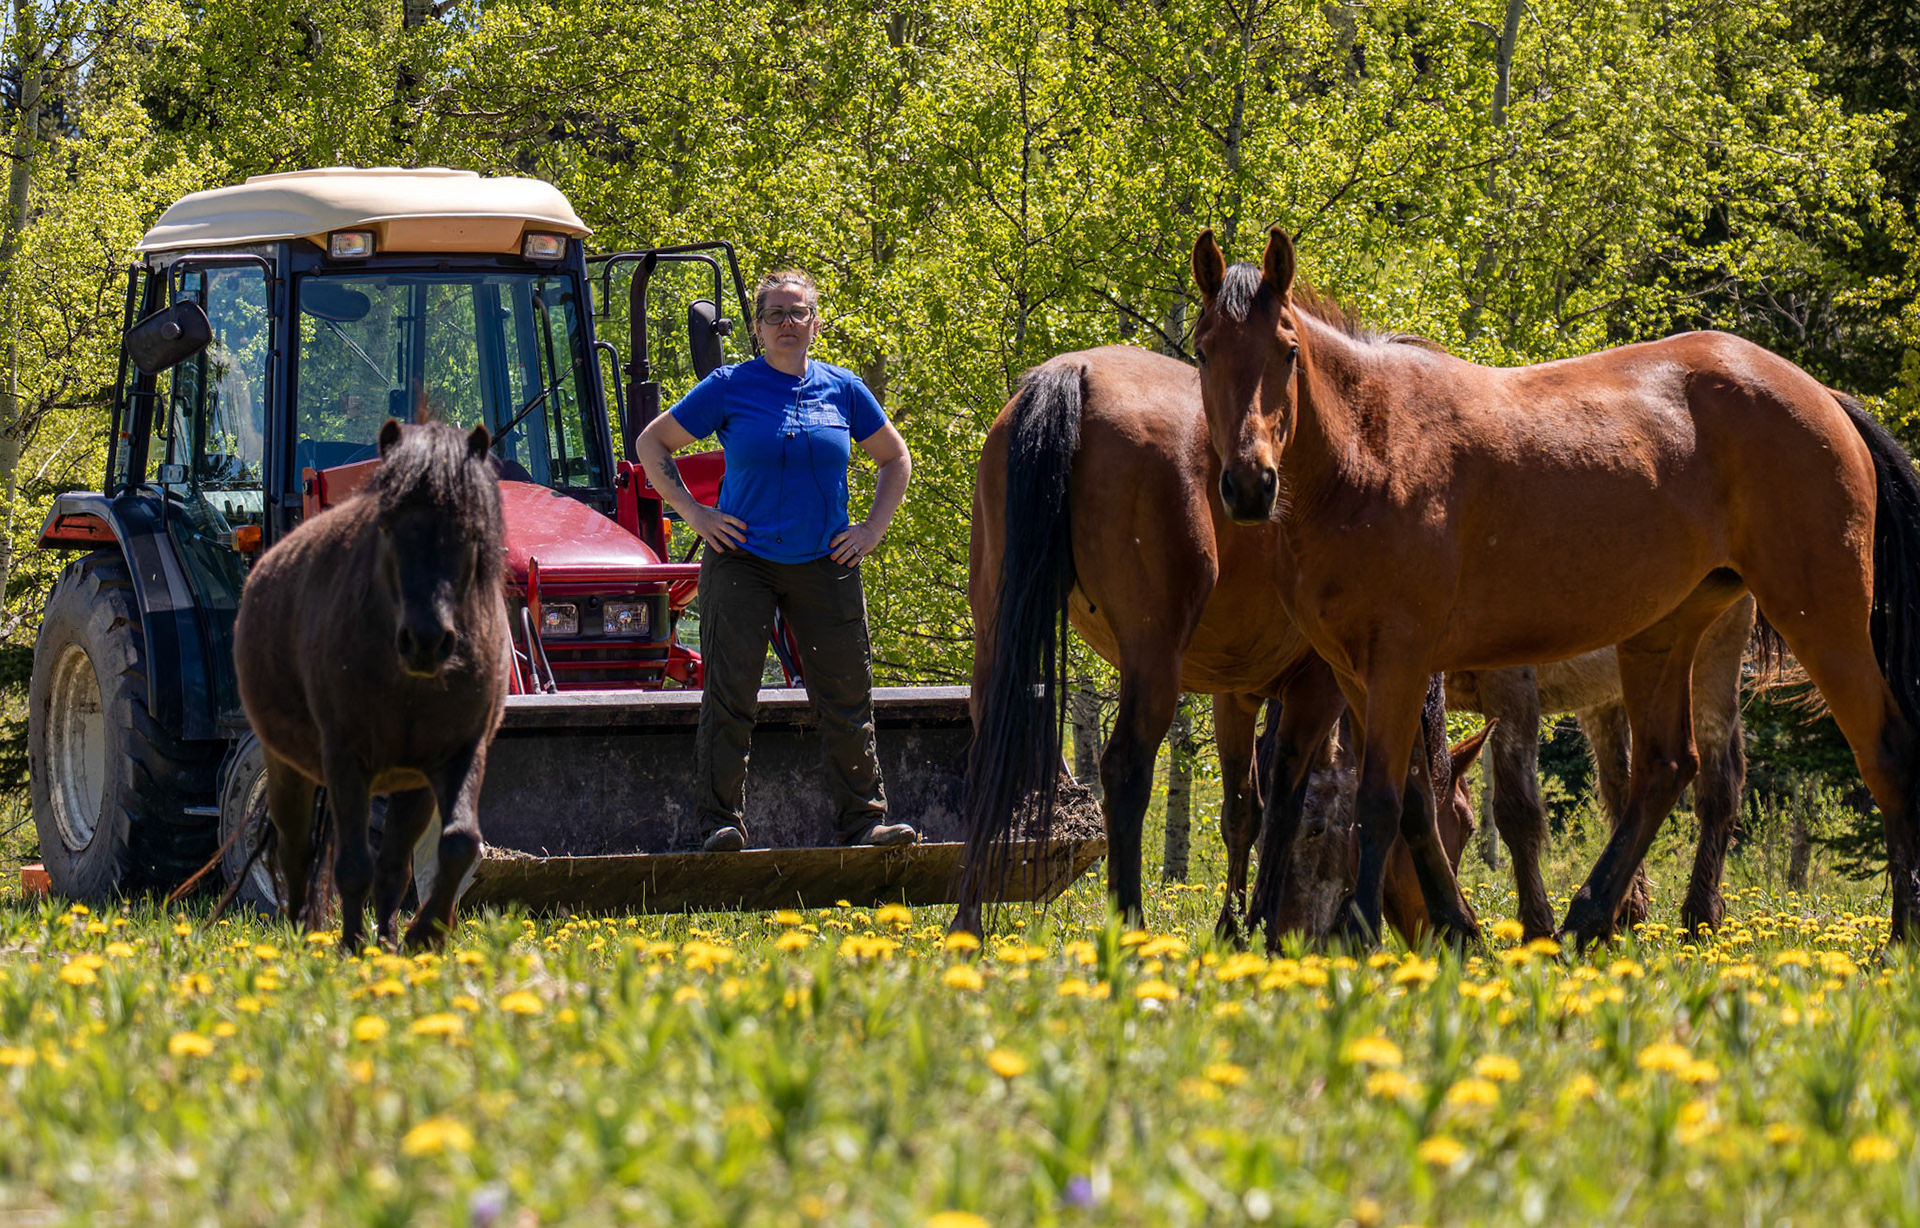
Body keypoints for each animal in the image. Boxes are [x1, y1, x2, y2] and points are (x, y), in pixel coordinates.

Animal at [233, 418, 510, 952]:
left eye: (470, 530)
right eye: (386, 527)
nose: (426, 640)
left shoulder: (458, 754)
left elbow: (458, 844)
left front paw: (422, 934)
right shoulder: (346, 759)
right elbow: (352, 865)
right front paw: (351, 944)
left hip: (408, 786)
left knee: (392, 867)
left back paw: (387, 941)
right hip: (287, 767)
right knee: (294, 852)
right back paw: (303, 934)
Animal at [1191, 226, 1920, 947]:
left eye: (1287, 352)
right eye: (1203, 353)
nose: (1249, 485)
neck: (1371, 449)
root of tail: (1824, 397)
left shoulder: (1405, 664)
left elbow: (1385, 800)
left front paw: (1363, 931)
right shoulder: (1358, 673)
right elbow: (1415, 801)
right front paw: (1454, 926)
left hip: (1820, 622)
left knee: (1877, 752)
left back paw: (1893, 936)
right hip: (1663, 634)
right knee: (1663, 768)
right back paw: (1589, 920)